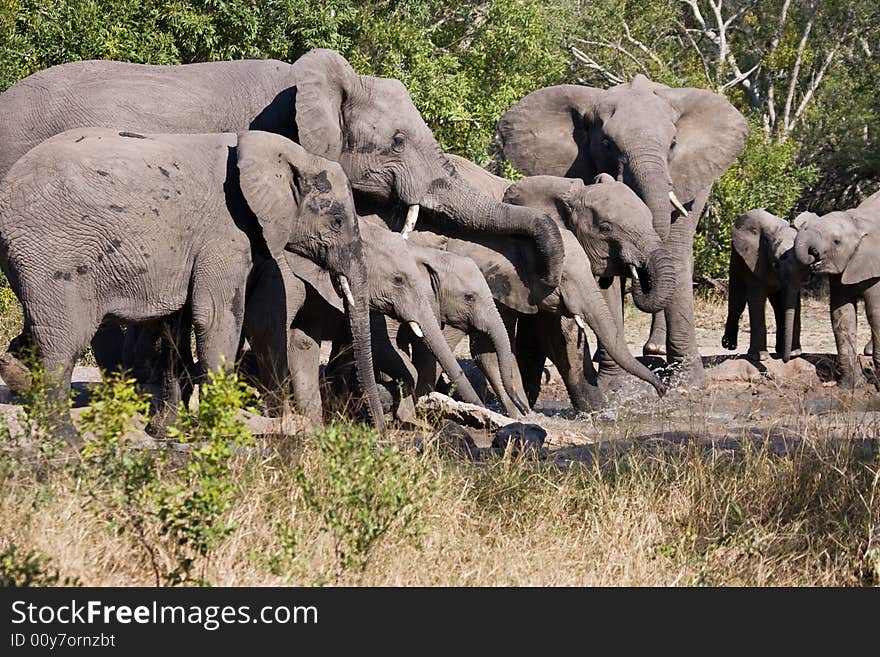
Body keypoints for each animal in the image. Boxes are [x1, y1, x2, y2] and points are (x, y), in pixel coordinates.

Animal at [0, 128, 382, 434]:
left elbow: (175, 325)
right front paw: (223, 427)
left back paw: (16, 374)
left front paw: (166, 430)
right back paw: (68, 443)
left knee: (41, 329)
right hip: (53, 255)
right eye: (336, 221)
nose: (380, 435)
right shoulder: (224, 232)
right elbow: (214, 317)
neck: (289, 153)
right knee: (62, 344)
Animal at [498, 75, 744, 386]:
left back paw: (656, 349)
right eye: (606, 143)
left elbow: (675, 251)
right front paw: (615, 386)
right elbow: (605, 269)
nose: (639, 273)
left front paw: (687, 384)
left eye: (673, 143)